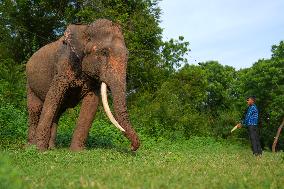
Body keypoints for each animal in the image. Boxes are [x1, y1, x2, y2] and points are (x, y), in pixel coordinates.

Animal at [26, 19, 139, 151]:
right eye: (104, 52)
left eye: (127, 55)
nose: (131, 147)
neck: (86, 28)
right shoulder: (63, 67)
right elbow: (52, 98)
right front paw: (40, 150)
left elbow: (91, 103)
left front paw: (77, 151)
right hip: (29, 84)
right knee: (35, 110)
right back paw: (31, 146)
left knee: (58, 112)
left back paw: (52, 148)